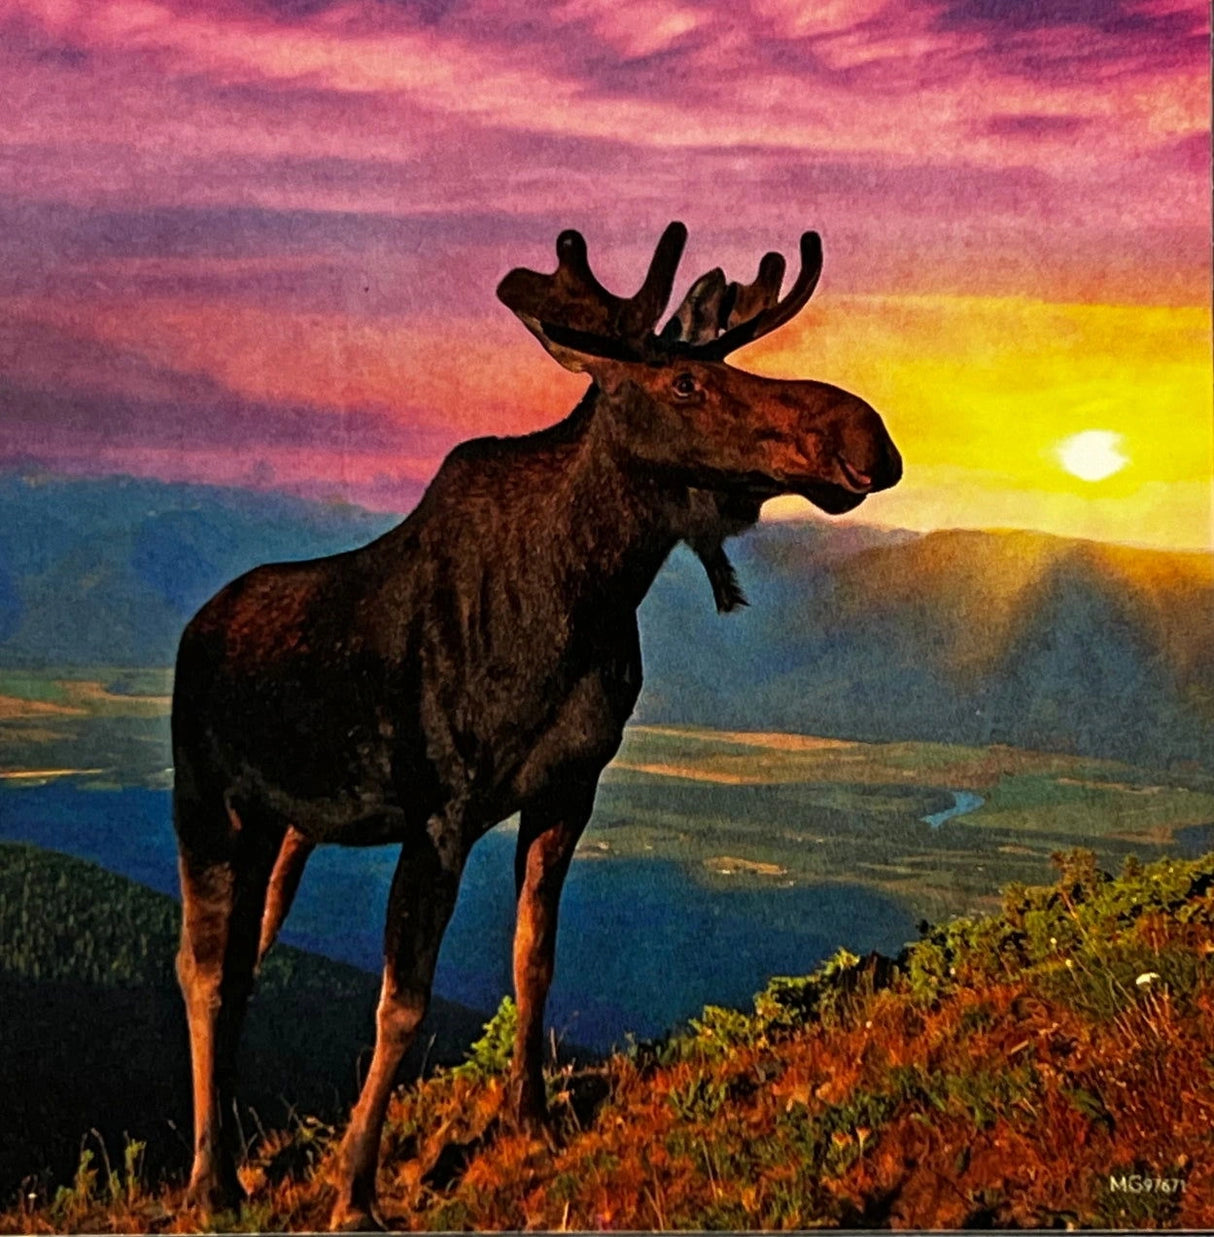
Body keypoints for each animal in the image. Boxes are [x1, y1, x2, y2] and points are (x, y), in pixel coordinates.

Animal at [170, 221, 902, 1230]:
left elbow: (534, 959)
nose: (867, 436)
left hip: (287, 828)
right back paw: (208, 1181)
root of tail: (196, 626)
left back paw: (233, 1166)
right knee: (200, 967)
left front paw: (533, 1118)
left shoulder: (567, 789)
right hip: (208, 801)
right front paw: (356, 1188)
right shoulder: (439, 811)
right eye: (686, 383)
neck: (586, 593)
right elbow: (402, 1002)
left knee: (242, 956)